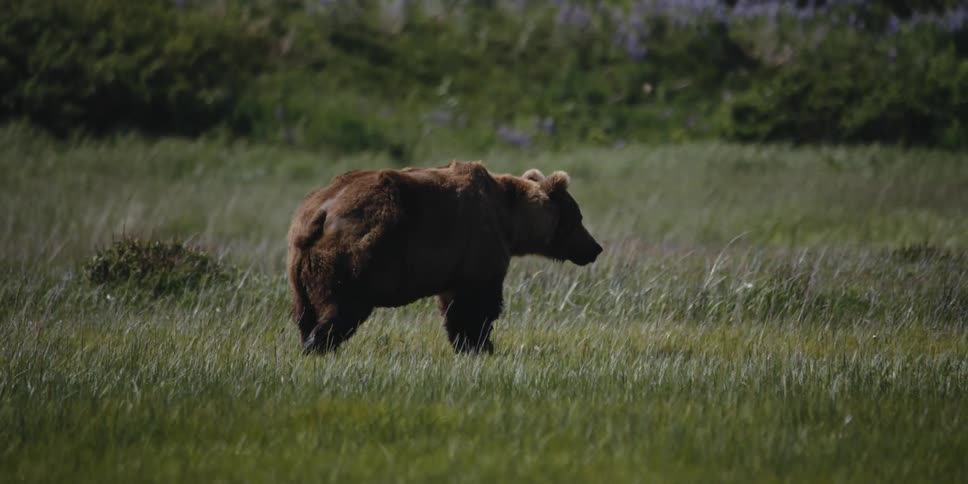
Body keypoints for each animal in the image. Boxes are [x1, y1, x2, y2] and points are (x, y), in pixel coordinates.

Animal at [286, 160, 602, 354]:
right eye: (578, 218)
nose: (595, 248)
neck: (511, 220)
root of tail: (320, 212)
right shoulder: (479, 243)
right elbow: (477, 304)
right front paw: (481, 345)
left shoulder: (454, 263)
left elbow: (453, 305)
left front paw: (467, 344)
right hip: (357, 258)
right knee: (343, 307)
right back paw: (318, 345)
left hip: (299, 267)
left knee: (305, 312)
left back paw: (307, 342)